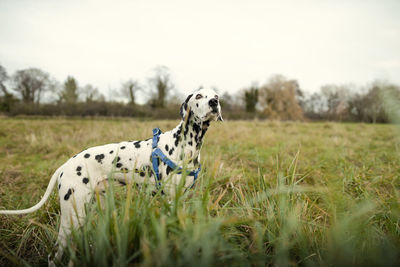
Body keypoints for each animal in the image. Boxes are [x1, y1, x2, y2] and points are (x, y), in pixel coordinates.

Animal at [0, 87, 222, 266]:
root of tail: (66, 164)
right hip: (71, 218)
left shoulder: (181, 200)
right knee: (53, 256)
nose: (214, 102)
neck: (186, 143)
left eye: (216, 95)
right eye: (199, 95)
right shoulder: (169, 201)